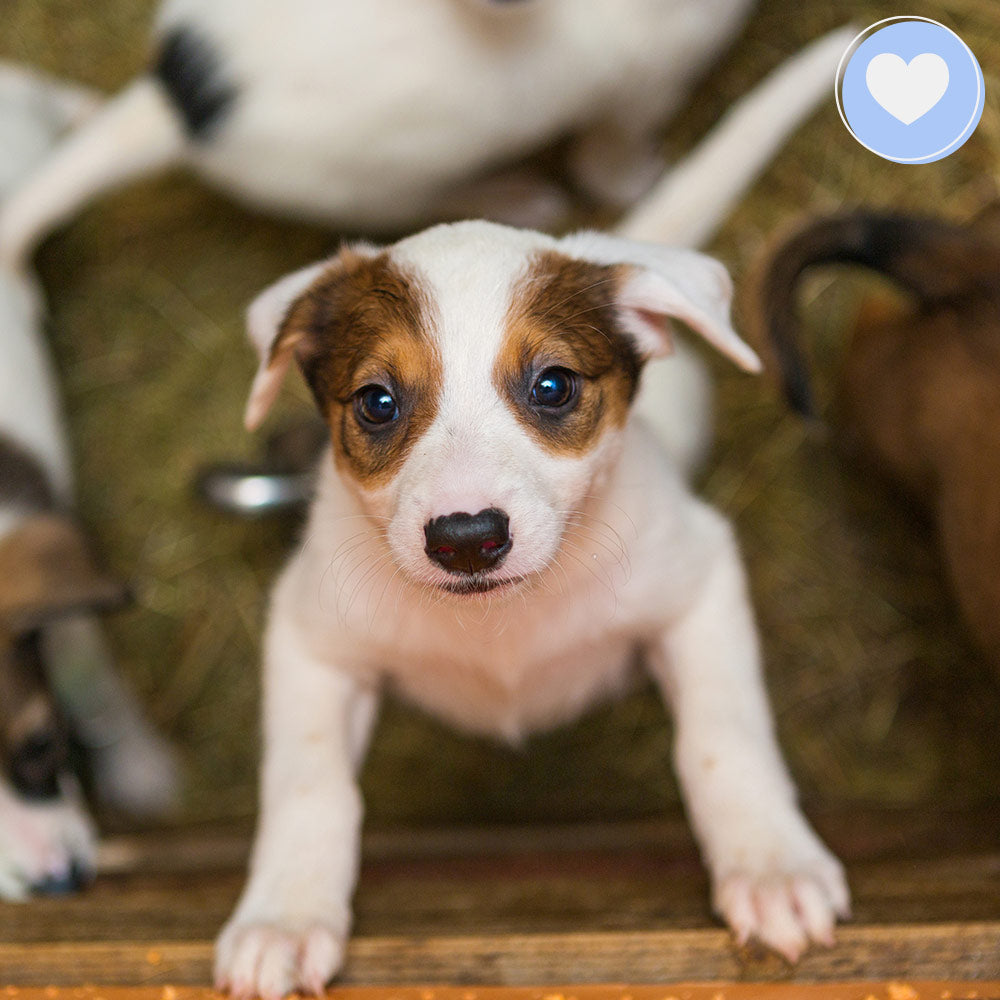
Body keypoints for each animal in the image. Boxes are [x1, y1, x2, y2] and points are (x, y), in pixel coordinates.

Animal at [0, 0, 752, 266]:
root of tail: (180, 104)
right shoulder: (642, 89)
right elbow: (612, 162)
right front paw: (645, 178)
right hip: (382, 188)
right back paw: (520, 195)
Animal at [217, 31, 852, 1000]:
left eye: (553, 386)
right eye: (376, 403)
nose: (466, 540)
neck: (503, 628)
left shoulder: (700, 580)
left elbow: (722, 736)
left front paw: (770, 863)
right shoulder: (309, 636)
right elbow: (308, 782)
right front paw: (283, 916)